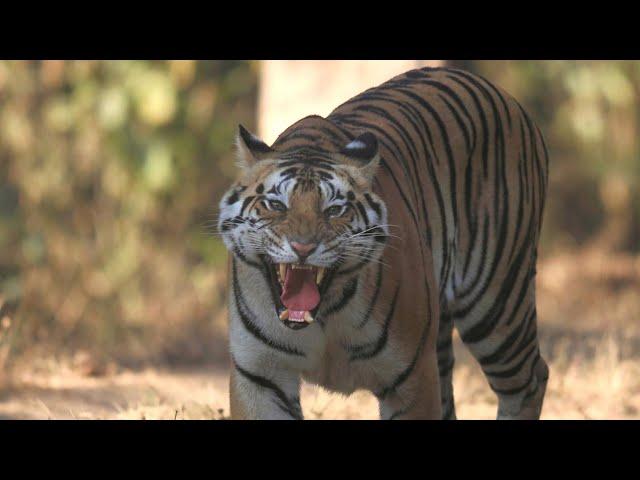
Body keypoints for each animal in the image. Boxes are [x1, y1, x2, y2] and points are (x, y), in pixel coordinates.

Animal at [218, 65, 548, 418]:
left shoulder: (412, 377)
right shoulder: (261, 375)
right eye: (276, 205)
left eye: (335, 210)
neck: (324, 314)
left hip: (496, 303)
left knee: (531, 378)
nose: (302, 248)